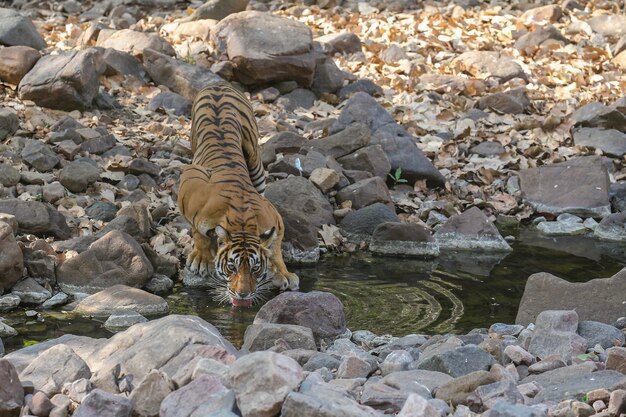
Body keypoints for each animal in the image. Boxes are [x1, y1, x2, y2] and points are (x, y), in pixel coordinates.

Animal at [177, 81, 298, 306]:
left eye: (255, 268)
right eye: (231, 267)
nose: (243, 294)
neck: (241, 222)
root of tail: (219, 84)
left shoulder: (276, 219)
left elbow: (275, 247)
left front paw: (283, 273)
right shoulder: (191, 180)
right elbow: (198, 232)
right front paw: (202, 258)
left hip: (255, 161)